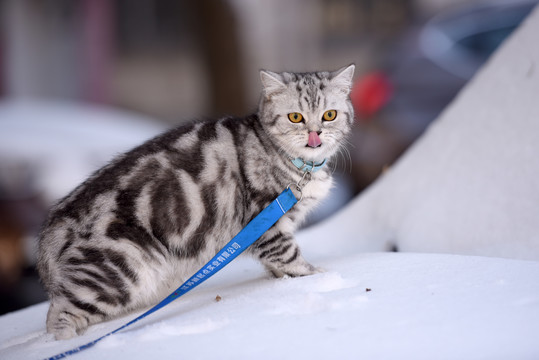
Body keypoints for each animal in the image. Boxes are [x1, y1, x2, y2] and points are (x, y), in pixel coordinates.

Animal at [39, 63, 358, 338]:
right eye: (296, 117)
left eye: (329, 115)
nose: (315, 135)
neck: (301, 167)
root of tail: (54, 226)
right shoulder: (265, 219)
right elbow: (290, 256)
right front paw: (318, 277)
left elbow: (278, 265)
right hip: (117, 271)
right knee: (59, 314)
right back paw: (66, 341)